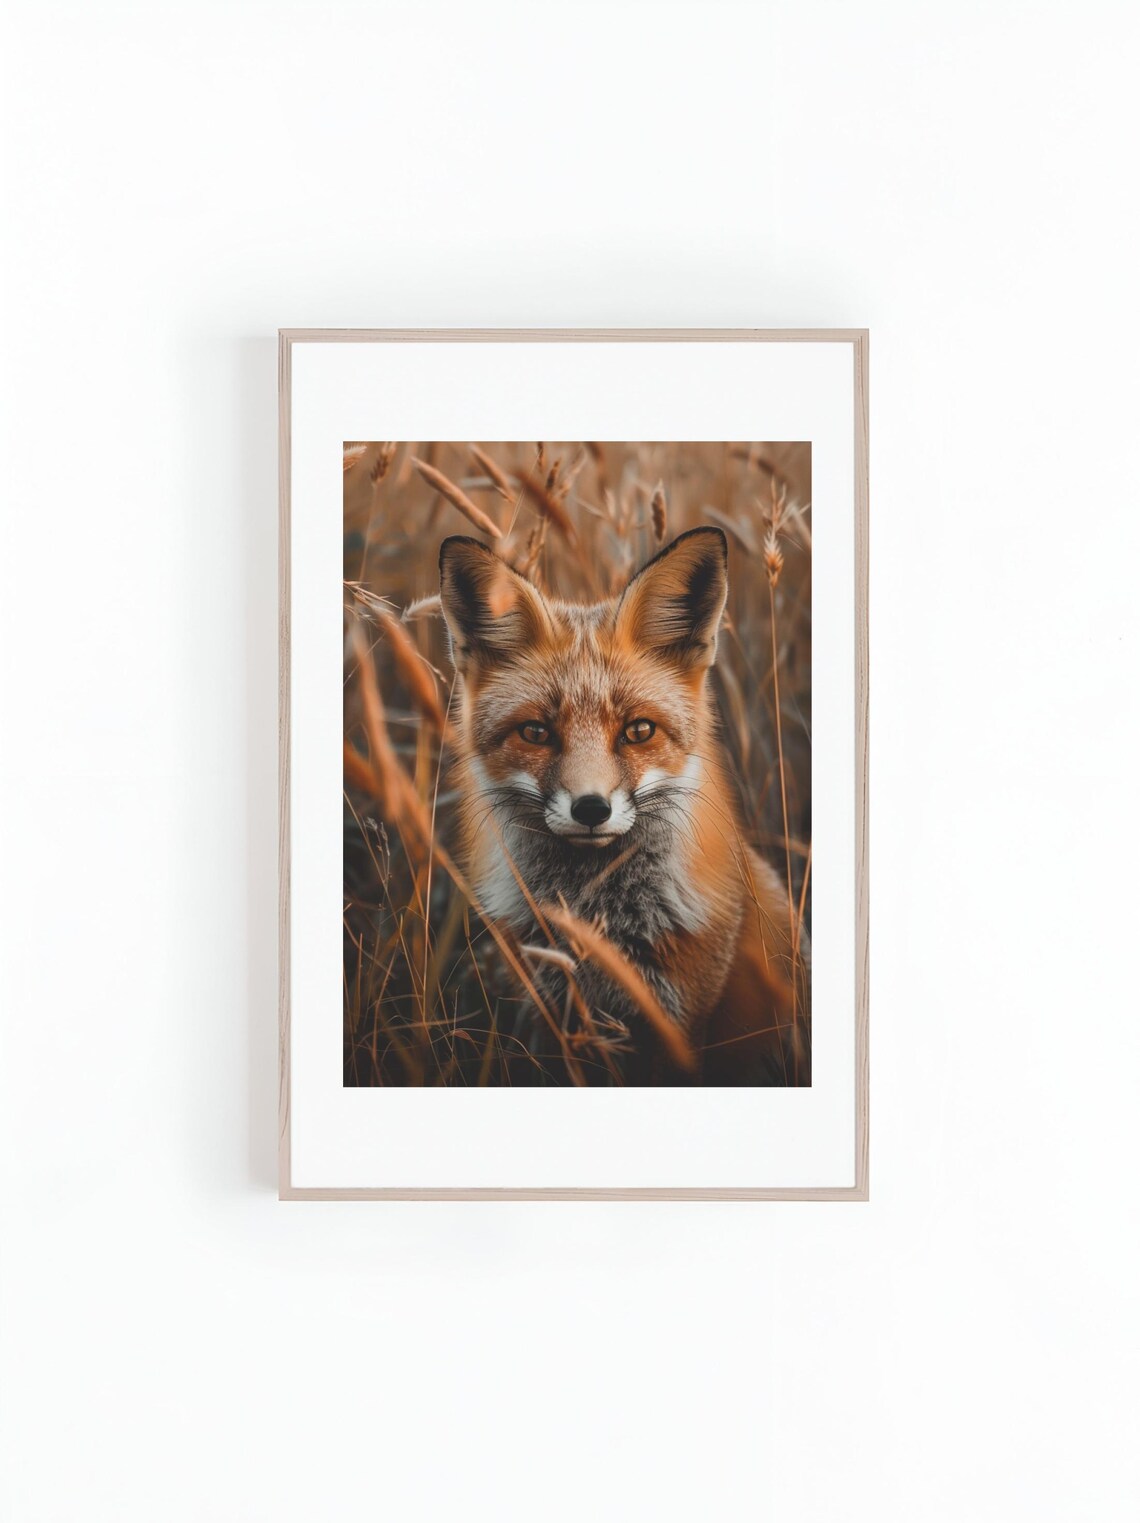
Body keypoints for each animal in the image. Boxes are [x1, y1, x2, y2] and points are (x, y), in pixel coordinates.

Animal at [438, 525, 809, 1086]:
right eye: (536, 733)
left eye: (638, 731)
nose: (591, 808)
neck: (601, 917)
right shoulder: (558, 1013)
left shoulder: (680, 1021)